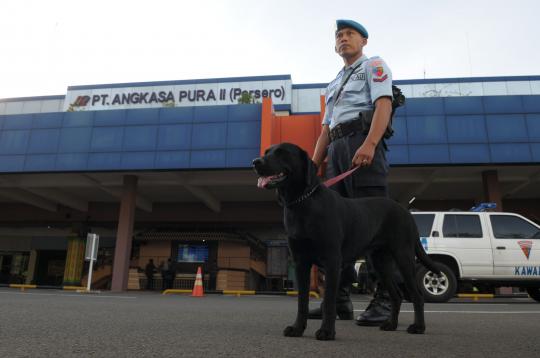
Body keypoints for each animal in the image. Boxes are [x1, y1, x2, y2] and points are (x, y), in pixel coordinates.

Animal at [252, 141, 438, 340]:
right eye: (266, 152)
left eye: (282, 152)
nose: (256, 162)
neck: (302, 203)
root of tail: (405, 211)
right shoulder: (301, 263)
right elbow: (302, 302)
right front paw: (297, 328)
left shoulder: (332, 261)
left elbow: (328, 302)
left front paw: (326, 331)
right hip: (380, 263)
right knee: (396, 295)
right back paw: (391, 325)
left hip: (403, 257)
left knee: (417, 295)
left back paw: (418, 327)